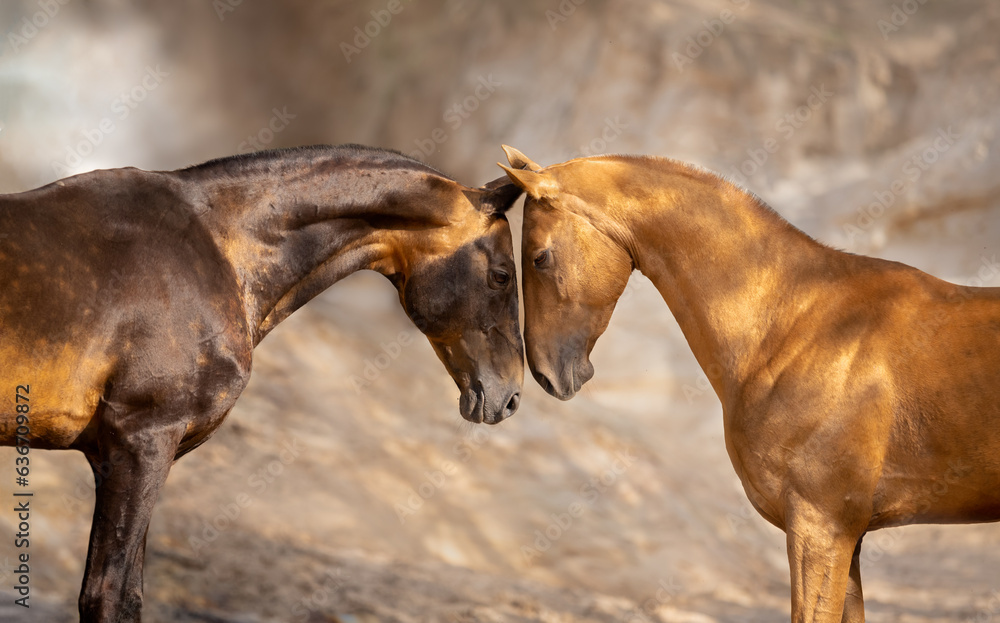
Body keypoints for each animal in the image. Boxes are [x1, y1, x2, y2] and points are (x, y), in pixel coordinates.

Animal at [0, 144, 524, 623]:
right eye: (502, 275)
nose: (511, 397)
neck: (218, 250)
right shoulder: (141, 442)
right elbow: (109, 597)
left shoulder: (129, 455)